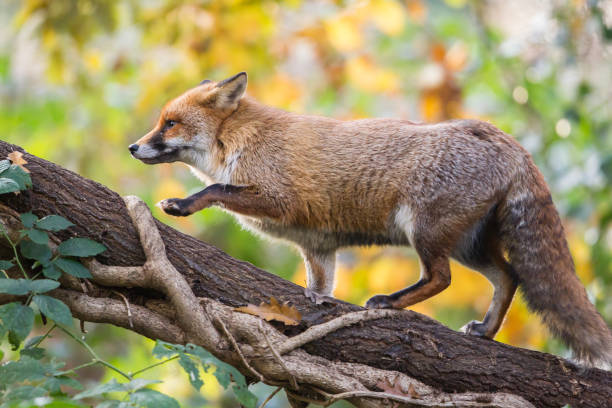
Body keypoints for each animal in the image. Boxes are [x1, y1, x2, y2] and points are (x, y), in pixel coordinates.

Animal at [129, 71, 612, 368]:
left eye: (169, 124)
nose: (133, 148)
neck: (239, 141)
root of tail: (503, 137)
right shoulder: (318, 248)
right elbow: (319, 289)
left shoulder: (278, 199)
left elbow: (215, 191)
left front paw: (182, 204)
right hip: (469, 245)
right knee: (508, 276)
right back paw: (487, 331)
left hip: (425, 232)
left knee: (441, 279)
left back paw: (390, 303)